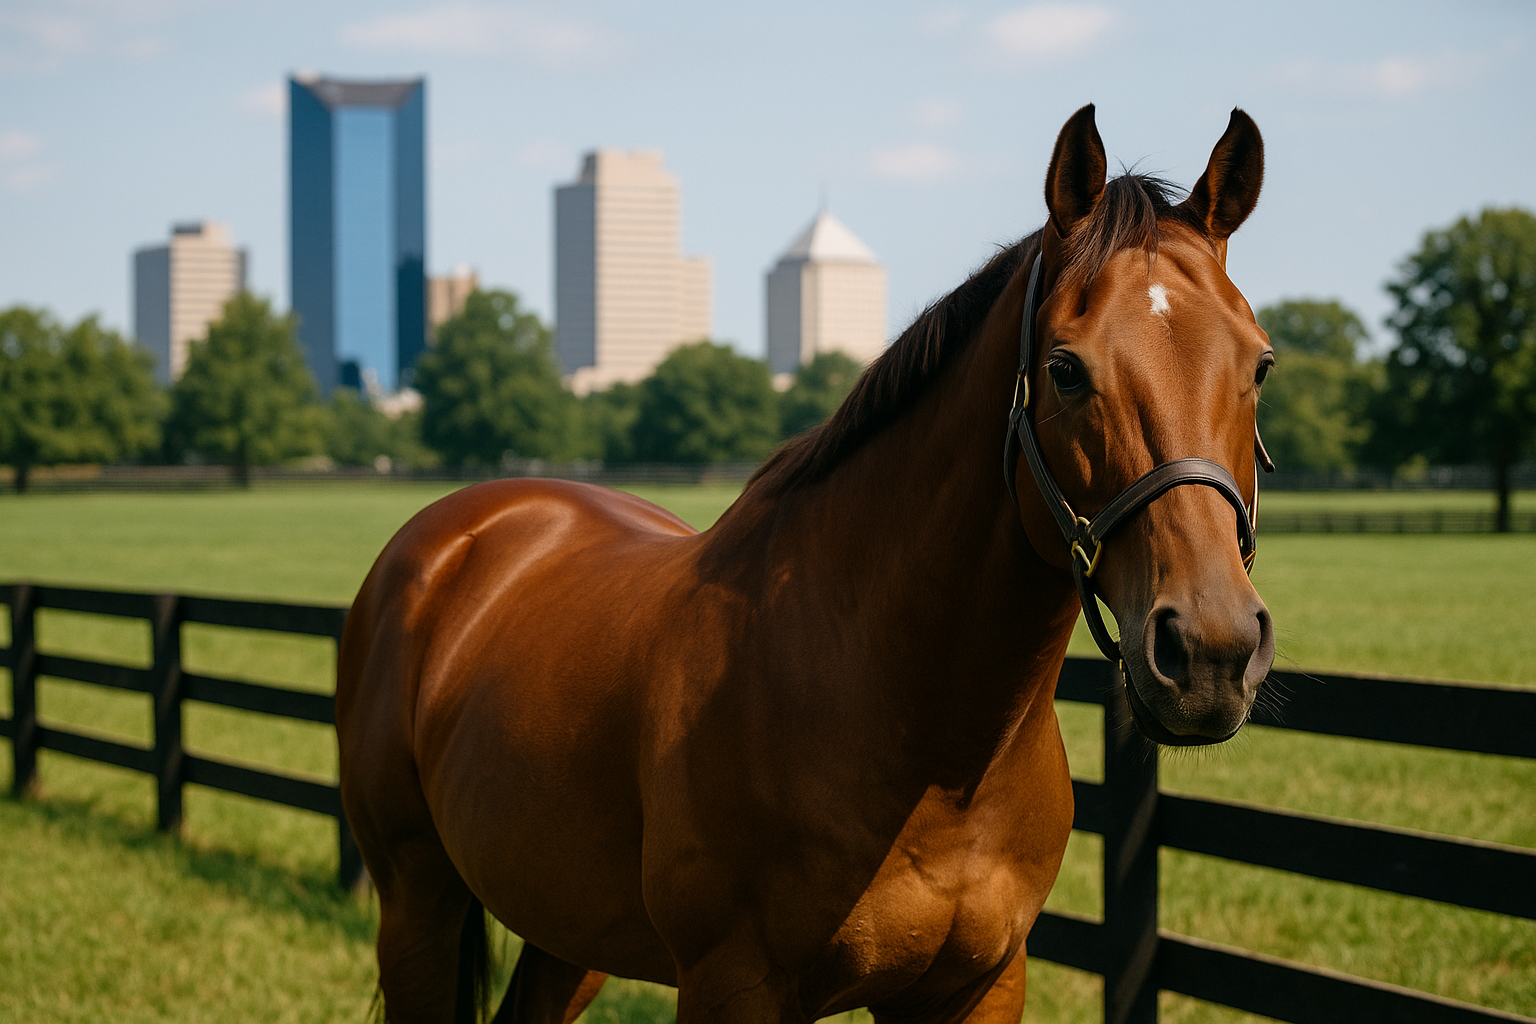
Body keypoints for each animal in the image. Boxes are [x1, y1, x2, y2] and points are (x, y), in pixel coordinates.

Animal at [336, 104, 1277, 1024]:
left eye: (1261, 363)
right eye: (1066, 369)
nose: (1212, 652)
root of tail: (458, 531)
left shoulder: (981, 983)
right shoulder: (734, 987)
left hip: (566, 929)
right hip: (417, 902)